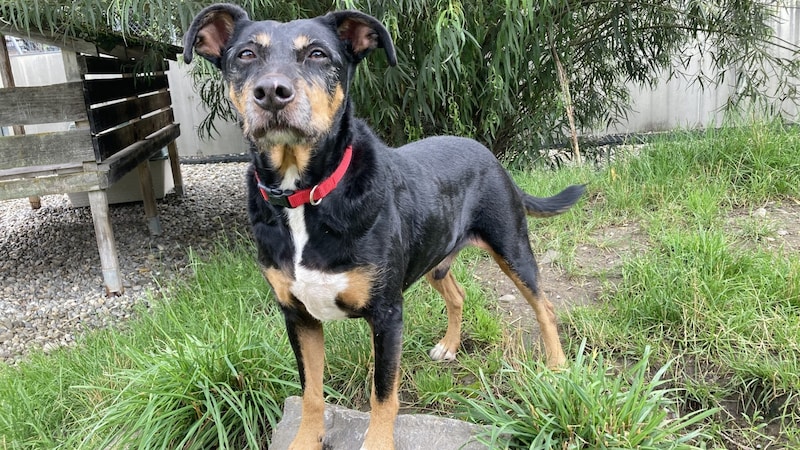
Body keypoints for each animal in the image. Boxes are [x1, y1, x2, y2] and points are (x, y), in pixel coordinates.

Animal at [184, 4, 584, 450]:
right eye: (246, 55)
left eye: (319, 54)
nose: (272, 92)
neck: (306, 195)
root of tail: (490, 156)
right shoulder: (297, 316)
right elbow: (311, 393)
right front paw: (305, 439)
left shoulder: (387, 314)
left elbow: (383, 395)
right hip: (435, 259)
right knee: (458, 294)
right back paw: (450, 346)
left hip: (511, 245)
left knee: (545, 306)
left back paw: (557, 368)